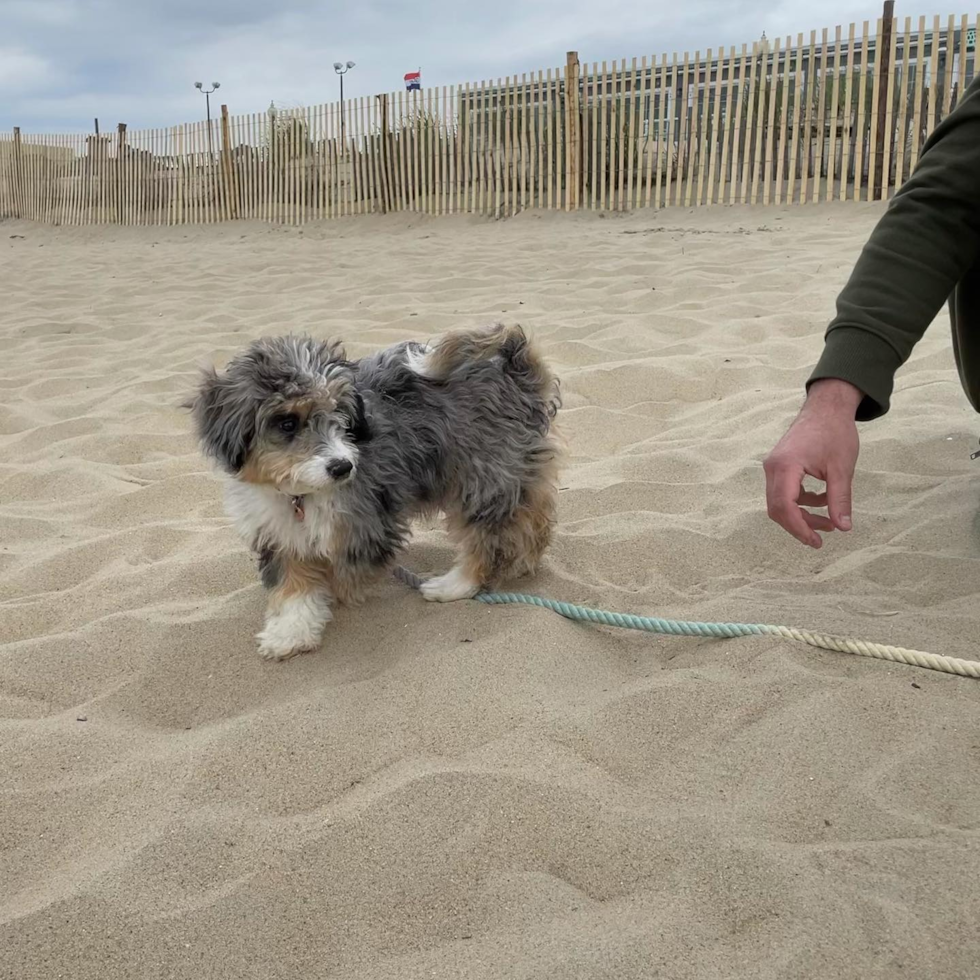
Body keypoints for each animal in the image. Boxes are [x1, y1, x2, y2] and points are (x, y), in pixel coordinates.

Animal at [188, 324, 564, 660]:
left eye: (339, 414)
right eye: (287, 423)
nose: (342, 467)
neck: (302, 495)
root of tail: (512, 359)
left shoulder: (368, 519)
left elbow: (345, 574)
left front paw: (333, 600)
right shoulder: (281, 533)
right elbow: (294, 585)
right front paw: (291, 632)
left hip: (483, 476)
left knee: (487, 537)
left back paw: (455, 584)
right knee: (531, 518)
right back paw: (523, 560)